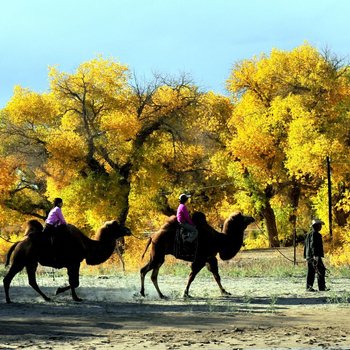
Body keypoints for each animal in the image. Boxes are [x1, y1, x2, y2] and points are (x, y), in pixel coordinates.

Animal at [3, 219, 131, 304]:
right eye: (116, 225)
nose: (128, 230)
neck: (87, 246)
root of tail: (18, 243)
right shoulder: (74, 263)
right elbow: (75, 282)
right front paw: (61, 292)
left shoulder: (73, 264)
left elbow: (74, 282)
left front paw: (73, 297)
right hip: (20, 261)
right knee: (8, 278)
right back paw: (9, 300)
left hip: (31, 262)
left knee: (31, 281)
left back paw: (46, 298)